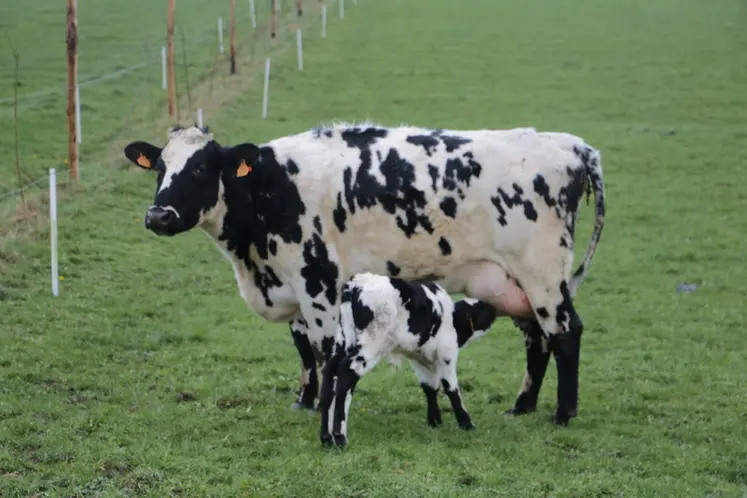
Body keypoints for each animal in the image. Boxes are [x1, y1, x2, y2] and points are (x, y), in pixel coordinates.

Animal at [322, 272, 499, 448]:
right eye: (481, 308)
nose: (495, 308)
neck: (451, 319)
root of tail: (357, 282)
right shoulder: (446, 353)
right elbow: (451, 388)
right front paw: (466, 423)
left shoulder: (419, 358)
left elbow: (430, 387)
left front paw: (435, 421)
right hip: (371, 345)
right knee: (346, 373)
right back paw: (340, 438)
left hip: (343, 342)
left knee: (330, 371)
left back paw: (326, 439)